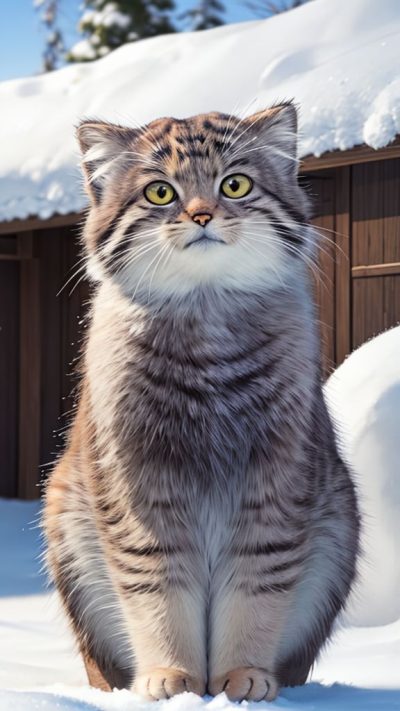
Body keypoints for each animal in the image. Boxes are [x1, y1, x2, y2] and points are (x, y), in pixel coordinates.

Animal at [43, 103, 360, 704]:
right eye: (160, 193)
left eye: (234, 184)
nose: (201, 215)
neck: (206, 318)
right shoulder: (141, 494)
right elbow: (158, 595)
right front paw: (172, 679)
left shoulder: (272, 490)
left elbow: (255, 596)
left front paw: (243, 679)